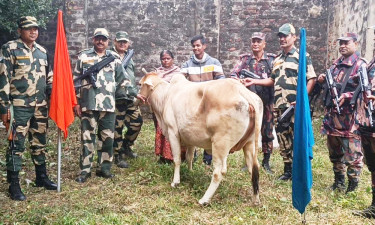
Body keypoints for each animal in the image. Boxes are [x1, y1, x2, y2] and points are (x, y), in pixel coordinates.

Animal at [139, 72, 264, 206]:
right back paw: (256, 200)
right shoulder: (190, 138)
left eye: (140, 84)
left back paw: (204, 199)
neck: (165, 96)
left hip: (220, 144)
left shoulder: (173, 132)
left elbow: (177, 159)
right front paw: (190, 172)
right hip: (249, 144)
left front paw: (175, 182)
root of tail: (242, 90)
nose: (138, 97)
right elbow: (189, 157)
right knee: (254, 169)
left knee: (218, 172)